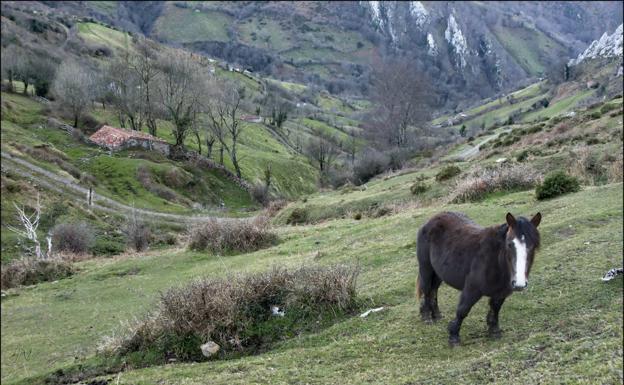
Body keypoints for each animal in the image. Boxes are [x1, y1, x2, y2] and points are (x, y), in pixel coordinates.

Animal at [416, 210, 544, 344]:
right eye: (509, 244)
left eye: (534, 246)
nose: (519, 284)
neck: (495, 261)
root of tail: (432, 219)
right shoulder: (472, 289)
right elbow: (462, 310)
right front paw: (453, 336)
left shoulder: (501, 292)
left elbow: (495, 309)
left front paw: (494, 331)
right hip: (426, 268)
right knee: (426, 289)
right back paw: (426, 317)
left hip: (438, 274)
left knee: (433, 290)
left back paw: (437, 315)